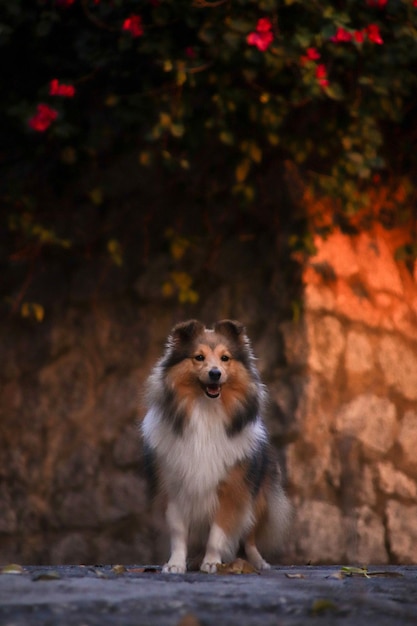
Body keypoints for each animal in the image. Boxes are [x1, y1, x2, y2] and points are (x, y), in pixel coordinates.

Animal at [140, 320, 290, 572]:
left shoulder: (232, 489)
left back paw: (258, 562)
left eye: (225, 358)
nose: (215, 373)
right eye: (199, 357)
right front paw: (175, 564)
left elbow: (218, 533)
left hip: (257, 498)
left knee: (249, 537)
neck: (206, 411)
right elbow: (178, 533)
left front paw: (211, 562)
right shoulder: (175, 487)